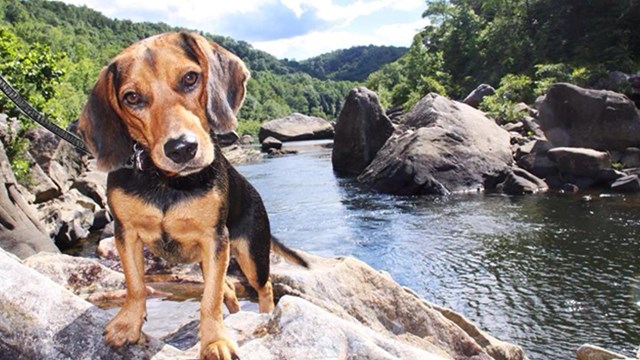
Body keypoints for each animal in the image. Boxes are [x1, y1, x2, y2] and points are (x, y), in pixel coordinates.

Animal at [79, 31, 308, 360]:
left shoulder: (214, 239)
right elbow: (135, 284)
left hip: (251, 254)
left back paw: (264, 316)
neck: (165, 183)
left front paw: (215, 341)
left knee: (262, 287)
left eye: (190, 78)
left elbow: (208, 300)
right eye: (131, 97)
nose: (181, 149)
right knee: (228, 289)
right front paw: (128, 323)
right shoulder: (127, 234)